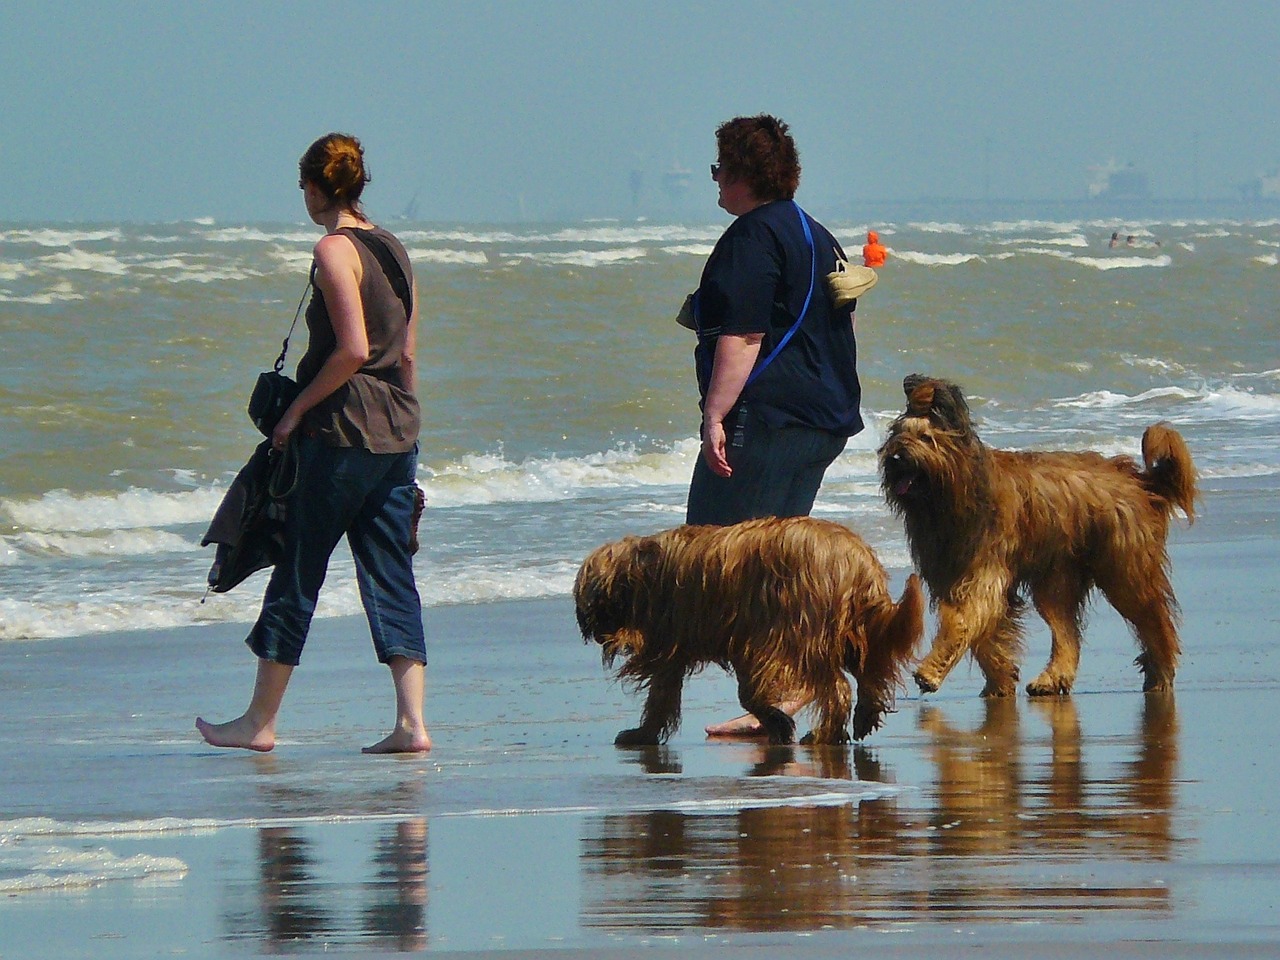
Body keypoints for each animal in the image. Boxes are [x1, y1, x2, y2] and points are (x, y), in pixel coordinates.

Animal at [576, 514, 926, 747]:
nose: (594, 633)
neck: (641, 572)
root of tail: (856, 556)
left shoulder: (750, 637)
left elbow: (748, 692)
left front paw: (777, 721)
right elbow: (662, 694)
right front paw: (644, 733)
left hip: (804, 630)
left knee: (837, 687)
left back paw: (825, 733)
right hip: (853, 629)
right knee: (869, 669)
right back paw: (864, 715)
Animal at [880, 376, 1198, 701]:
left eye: (925, 437)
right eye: (897, 433)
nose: (894, 457)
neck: (952, 496)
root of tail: (1141, 481)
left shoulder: (984, 572)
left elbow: (963, 619)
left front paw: (931, 672)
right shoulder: (952, 574)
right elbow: (987, 636)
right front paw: (999, 682)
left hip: (1124, 568)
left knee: (1153, 620)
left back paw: (1160, 674)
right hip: (1057, 578)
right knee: (1067, 631)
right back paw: (1052, 678)